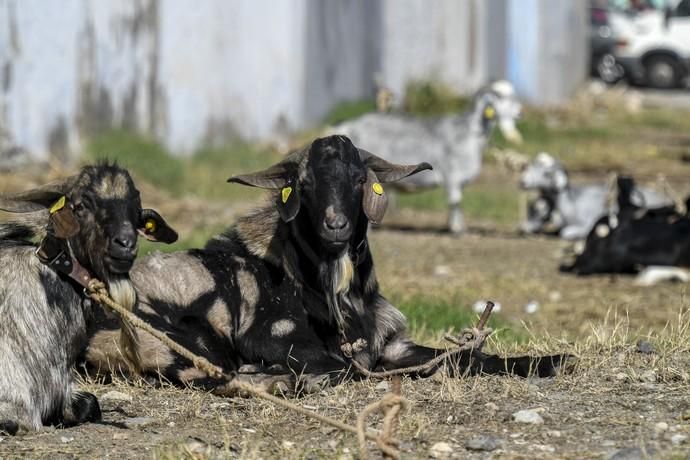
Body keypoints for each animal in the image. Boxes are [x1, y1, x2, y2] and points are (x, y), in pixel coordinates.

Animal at [86, 134, 568, 392]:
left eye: (359, 179)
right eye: (304, 182)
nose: (335, 224)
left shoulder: (391, 346)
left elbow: (461, 356)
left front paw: (552, 361)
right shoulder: (278, 339)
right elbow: (341, 366)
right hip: (185, 335)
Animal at [334, 80, 520, 235]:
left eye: (512, 95)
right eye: (500, 97)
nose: (520, 112)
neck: (468, 132)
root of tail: (348, 125)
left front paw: (459, 227)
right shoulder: (452, 176)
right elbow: (455, 202)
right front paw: (457, 230)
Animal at [520, 154, 668, 241]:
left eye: (547, 173)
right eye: (530, 166)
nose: (522, 182)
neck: (571, 205)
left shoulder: (587, 223)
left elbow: (565, 233)